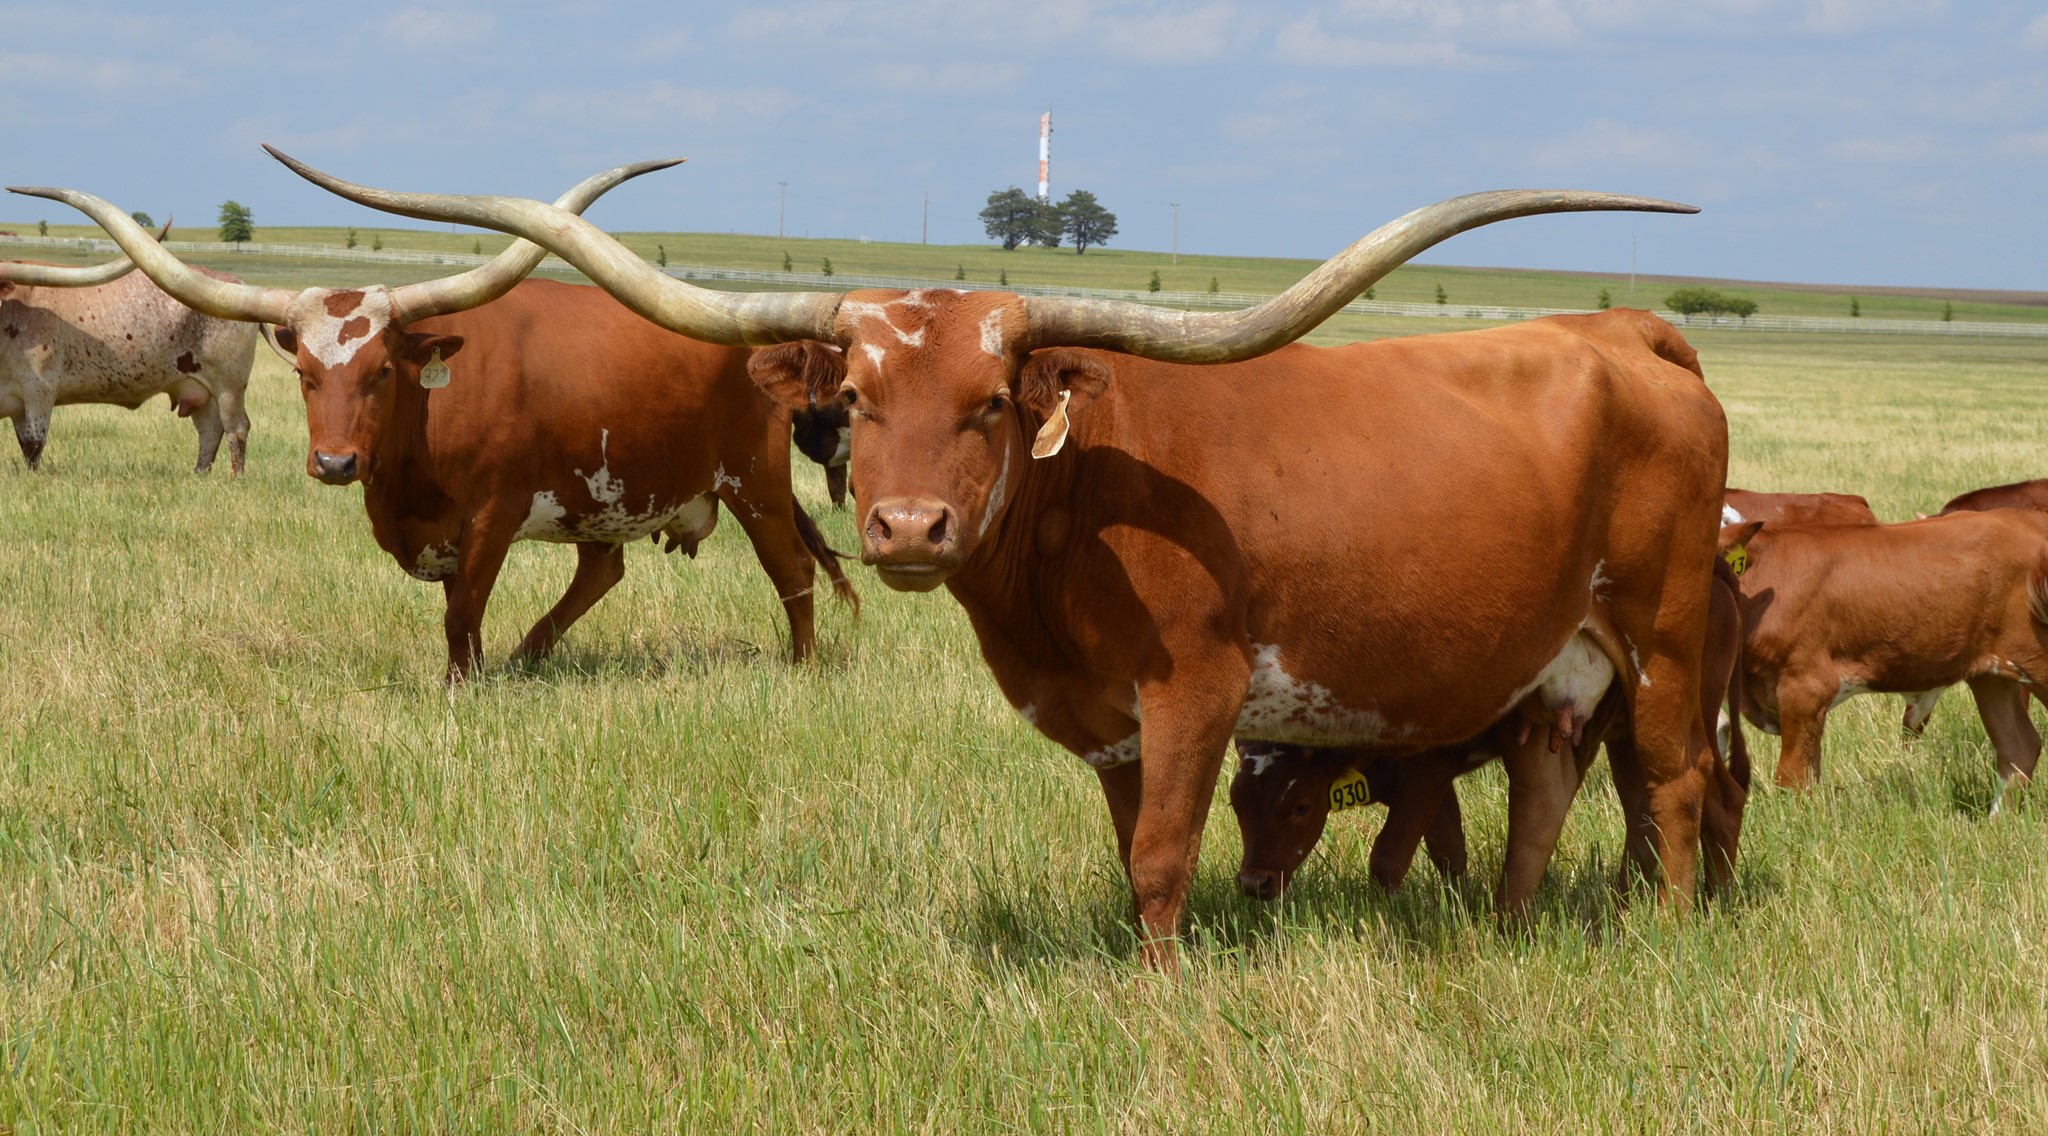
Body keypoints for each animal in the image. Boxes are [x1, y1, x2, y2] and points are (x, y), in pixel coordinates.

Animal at [1, 230, 256, 473]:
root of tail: (238, 284)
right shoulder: (18, 403)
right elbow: (25, 443)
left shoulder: (40, 390)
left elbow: (35, 444)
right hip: (199, 389)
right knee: (210, 430)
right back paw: (199, 474)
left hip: (229, 386)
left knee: (236, 428)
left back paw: (236, 477)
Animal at [1233, 544, 1756, 901]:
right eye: (1237, 804)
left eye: (1300, 806)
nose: (1254, 882)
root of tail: (1713, 568)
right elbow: (1447, 849)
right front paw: (1456, 900)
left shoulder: (1429, 766)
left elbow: (1390, 855)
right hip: (1628, 736)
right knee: (1643, 811)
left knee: (1720, 800)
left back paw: (1719, 898)